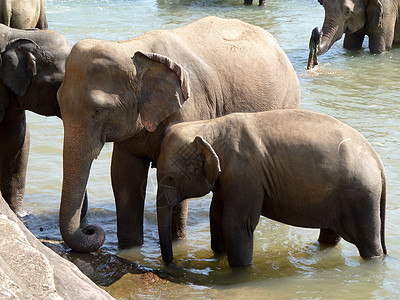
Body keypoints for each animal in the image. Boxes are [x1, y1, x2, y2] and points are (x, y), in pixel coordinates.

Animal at [55, 15, 300, 253]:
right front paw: (130, 248)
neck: (131, 48)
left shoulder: (190, 108)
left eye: (99, 111)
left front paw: (177, 243)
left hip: (288, 100)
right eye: (59, 103)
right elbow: (125, 179)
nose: (90, 229)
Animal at [156, 109, 388, 268]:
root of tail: (378, 162)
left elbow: (236, 224)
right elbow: (216, 216)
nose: (173, 263)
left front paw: (241, 272)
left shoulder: (245, 176)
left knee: (368, 244)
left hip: (361, 195)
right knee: (331, 234)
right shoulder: (228, 179)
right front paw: (218, 256)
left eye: (171, 177)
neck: (208, 126)